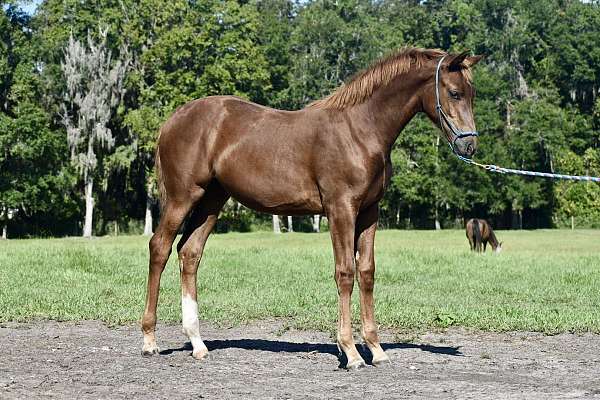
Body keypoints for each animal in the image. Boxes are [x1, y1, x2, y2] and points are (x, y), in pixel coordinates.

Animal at [139, 47, 482, 368]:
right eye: (454, 92)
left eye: (472, 93)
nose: (469, 145)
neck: (359, 129)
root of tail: (173, 119)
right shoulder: (340, 208)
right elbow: (345, 272)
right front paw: (351, 352)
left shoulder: (369, 212)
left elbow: (367, 272)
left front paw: (376, 349)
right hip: (183, 197)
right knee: (160, 247)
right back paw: (149, 341)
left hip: (212, 200)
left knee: (189, 253)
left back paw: (197, 343)